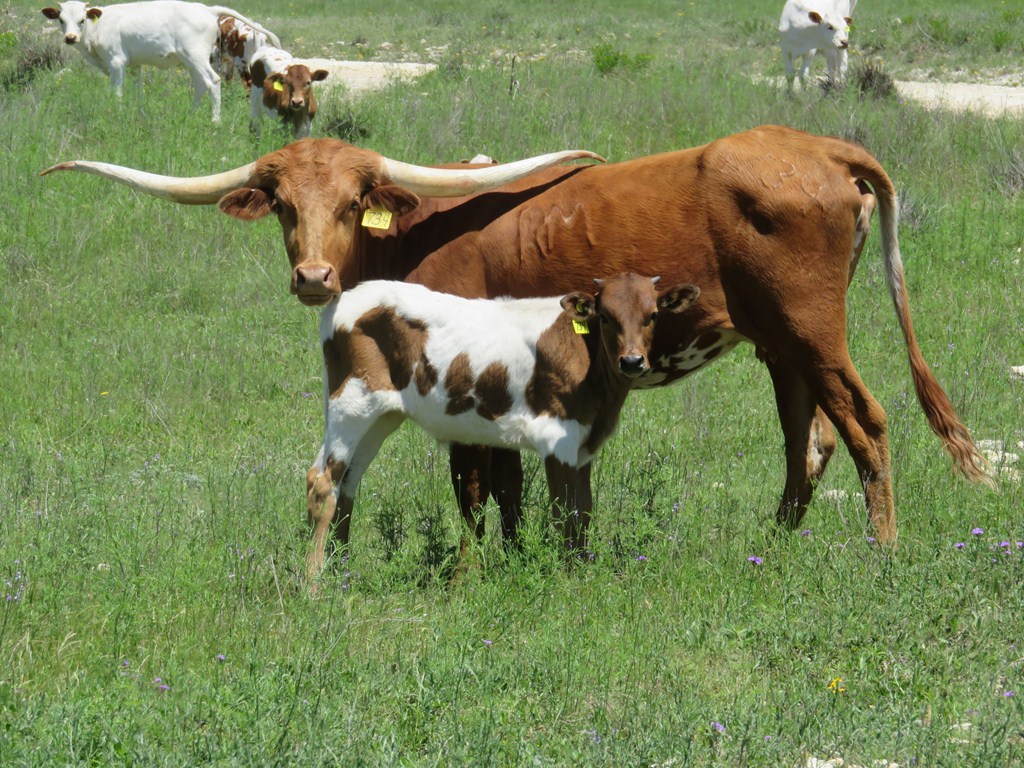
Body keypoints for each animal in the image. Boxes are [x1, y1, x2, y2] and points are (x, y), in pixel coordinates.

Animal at [40, 1, 280, 121]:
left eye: (82, 20)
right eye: (61, 20)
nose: (70, 37)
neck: (97, 27)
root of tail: (207, 9)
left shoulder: (116, 63)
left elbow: (117, 93)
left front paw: (117, 114)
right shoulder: (134, 66)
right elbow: (137, 91)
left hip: (197, 58)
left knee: (213, 82)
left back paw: (215, 120)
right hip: (191, 61)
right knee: (200, 85)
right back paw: (191, 115)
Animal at [305, 274, 699, 577]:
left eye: (652, 315)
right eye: (605, 317)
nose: (632, 361)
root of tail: (351, 295)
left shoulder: (584, 442)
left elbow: (584, 509)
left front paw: (583, 571)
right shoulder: (558, 437)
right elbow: (563, 512)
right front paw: (566, 577)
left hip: (382, 415)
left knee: (347, 483)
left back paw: (342, 571)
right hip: (352, 404)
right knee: (323, 482)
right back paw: (315, 582)